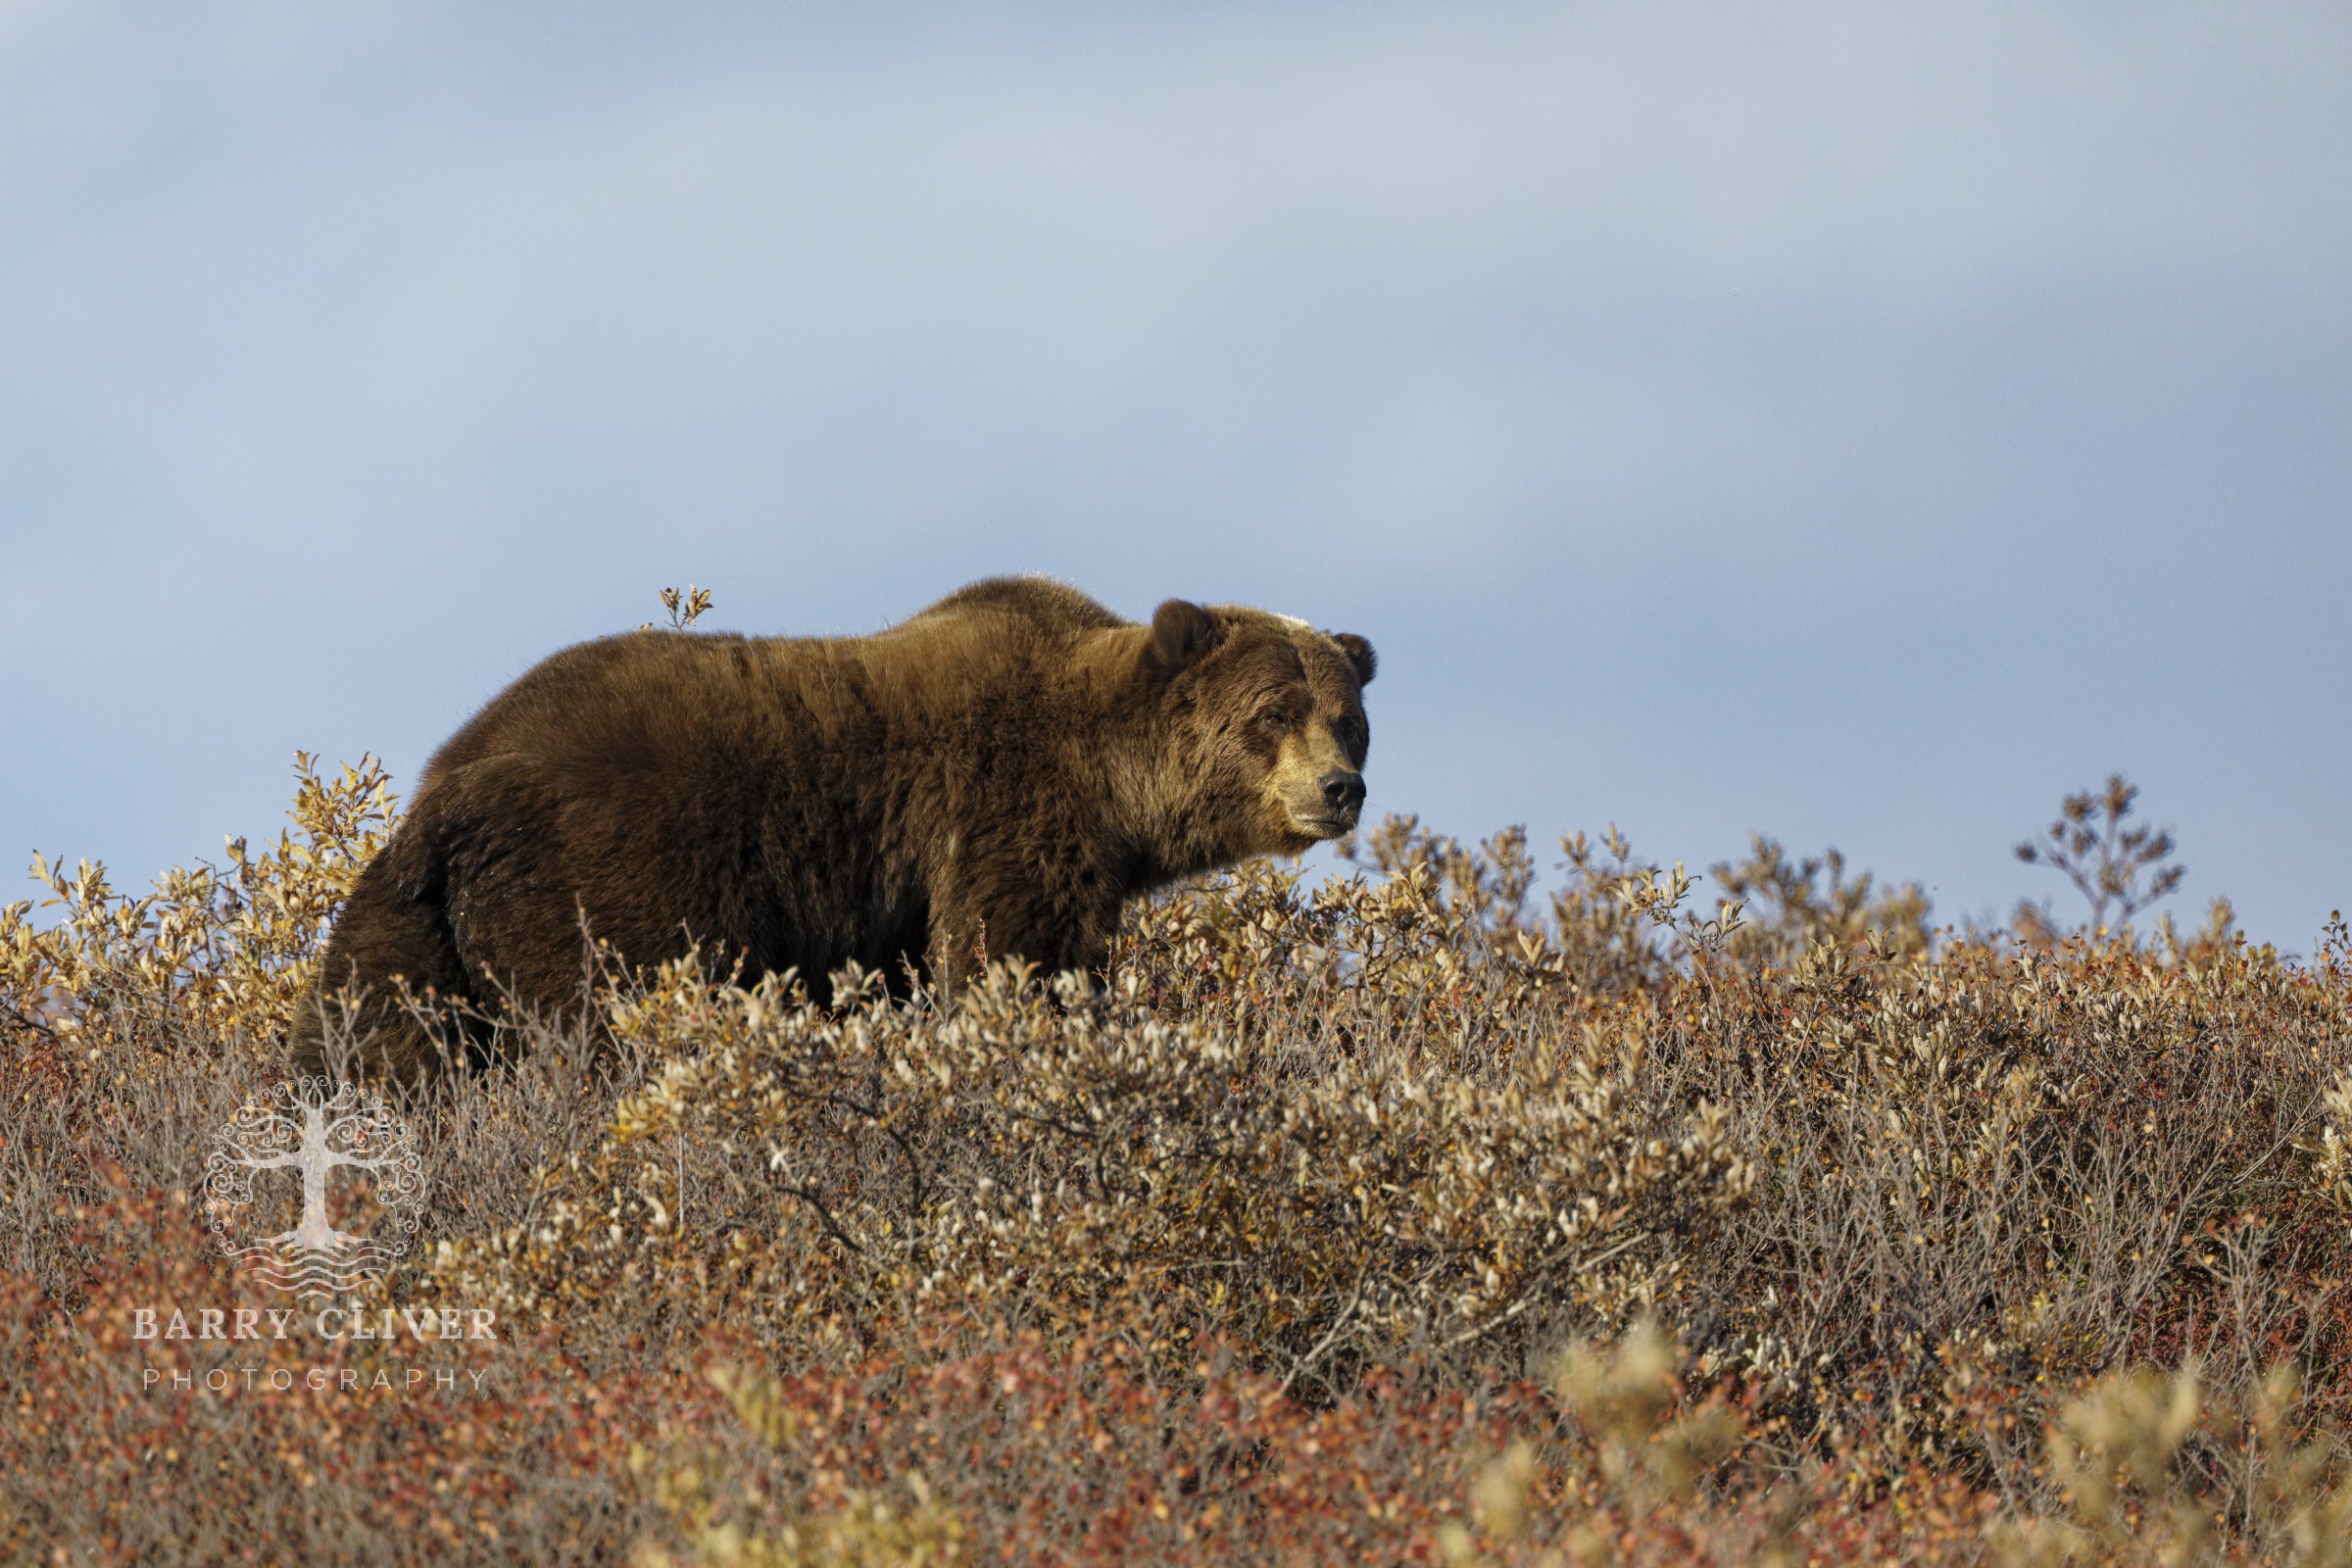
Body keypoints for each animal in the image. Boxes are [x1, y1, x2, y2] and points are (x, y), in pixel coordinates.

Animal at [288, 576, 1375, 1082]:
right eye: (1274, 712)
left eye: (1348, 715)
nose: (1341, 789)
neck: (1111, 782)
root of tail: (448, 792)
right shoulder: (1006, 814)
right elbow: (1015, 959)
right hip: (598, 879)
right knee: (602, 1024)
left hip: (410, 925)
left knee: (375, 1053)